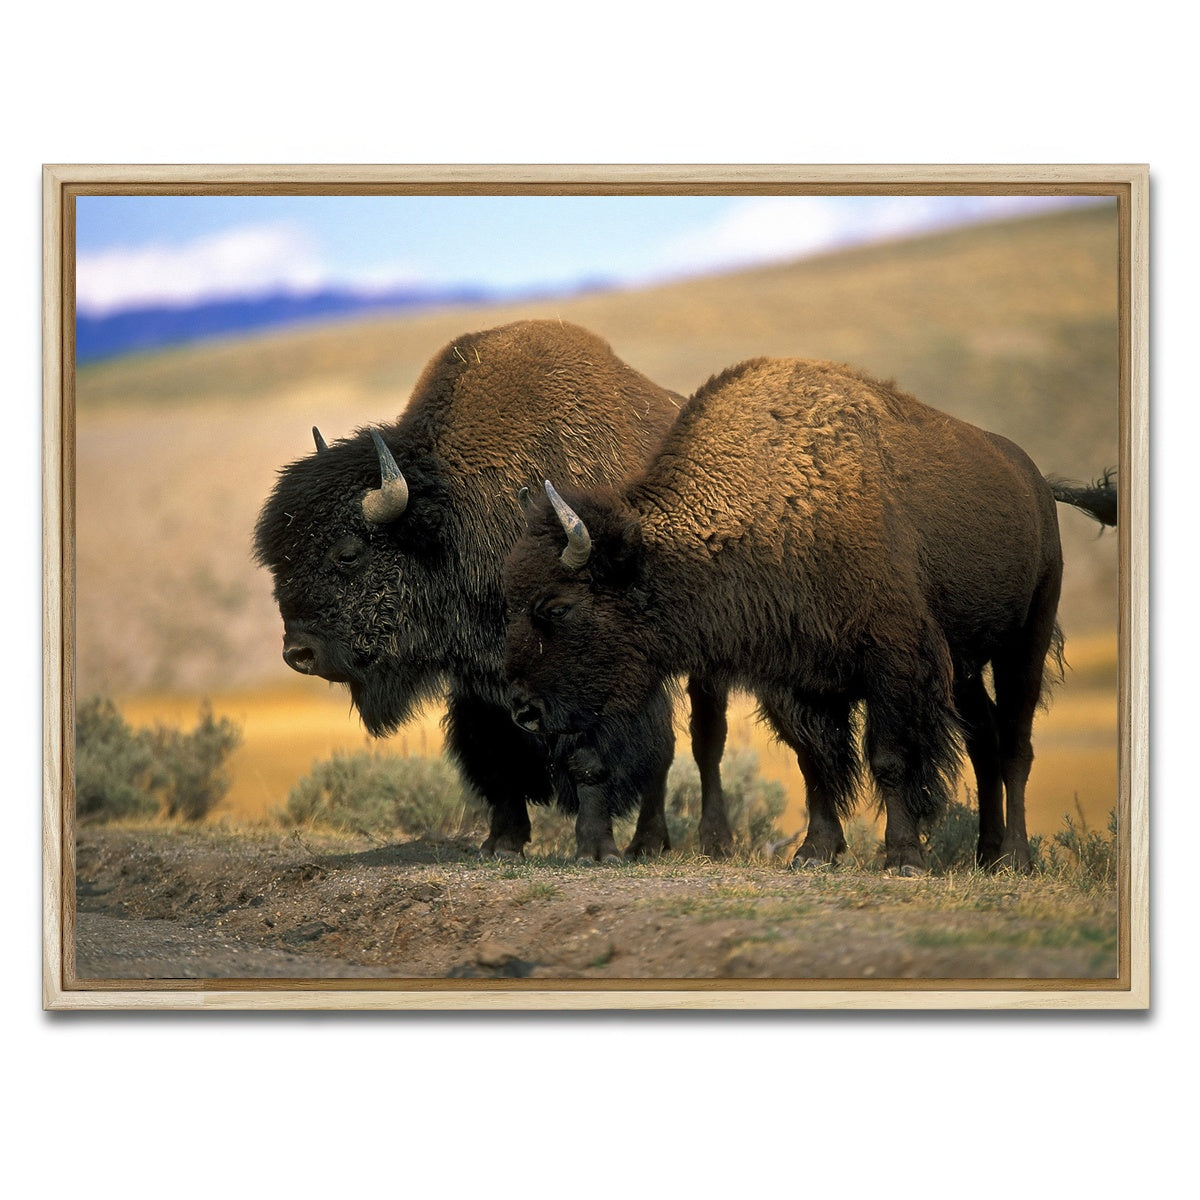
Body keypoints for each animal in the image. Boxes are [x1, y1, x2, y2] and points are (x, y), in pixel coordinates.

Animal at [254, 319, 730, 861]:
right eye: (278, 559)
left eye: (348, 553)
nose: (299, 653)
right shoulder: (480, 682)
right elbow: (497, 755)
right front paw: (502, 842)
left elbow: (592, 756)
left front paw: (595, 849)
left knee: (700, 741)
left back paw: (686, 842)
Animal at [503, 356, 1116, 874]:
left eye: (557, 606)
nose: (523, 710)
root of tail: (1036, 482)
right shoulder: (798, 680)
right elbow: (815, 761)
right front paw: (815, 853)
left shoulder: (894, 662)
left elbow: (890, 757)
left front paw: (903, 858)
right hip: (965, 665)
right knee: (983, 740)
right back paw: (985, 856)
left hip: (1025, 642)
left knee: (1015, 744)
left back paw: (1015, 857)